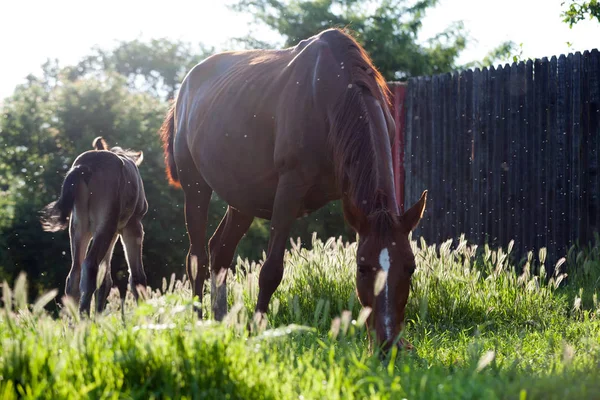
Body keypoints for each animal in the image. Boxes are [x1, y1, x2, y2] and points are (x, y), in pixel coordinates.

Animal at [40, 138, 148, 316]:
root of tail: (85, 167)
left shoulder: (113, 233)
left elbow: (105, 280)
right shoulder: (132, 227)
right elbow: (137, 276)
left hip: (80, 229)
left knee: (75, 275)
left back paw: (75, 320)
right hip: (105, 227)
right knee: (89, 266)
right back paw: (84, 316)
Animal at [159, 28, 426, 352]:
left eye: (410, 267)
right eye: (362, 268)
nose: (388, 343)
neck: (329, 93)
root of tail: (184, 90)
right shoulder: (289, 189)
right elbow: (271, 270)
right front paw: (257, 330)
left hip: (242, 200)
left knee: (219, 251)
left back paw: (221, 322)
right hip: (195, 188)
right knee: (197, 258)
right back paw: (199, 324)